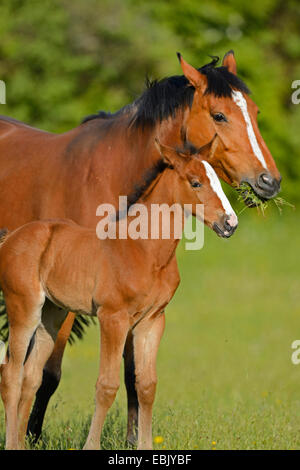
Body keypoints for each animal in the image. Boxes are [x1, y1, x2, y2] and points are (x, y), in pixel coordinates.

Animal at [1, 138, 238, 450]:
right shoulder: (113, 318)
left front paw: (146, 446)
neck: (145, 249)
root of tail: (11, 237)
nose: (230, 223)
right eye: (196, 182)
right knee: (11, 374)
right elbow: (107, 384)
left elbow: (146, 385)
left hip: (52, 315)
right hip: (24, 309)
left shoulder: (152, 321)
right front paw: (91, 446)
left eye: (218, 181)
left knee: (30, 376)